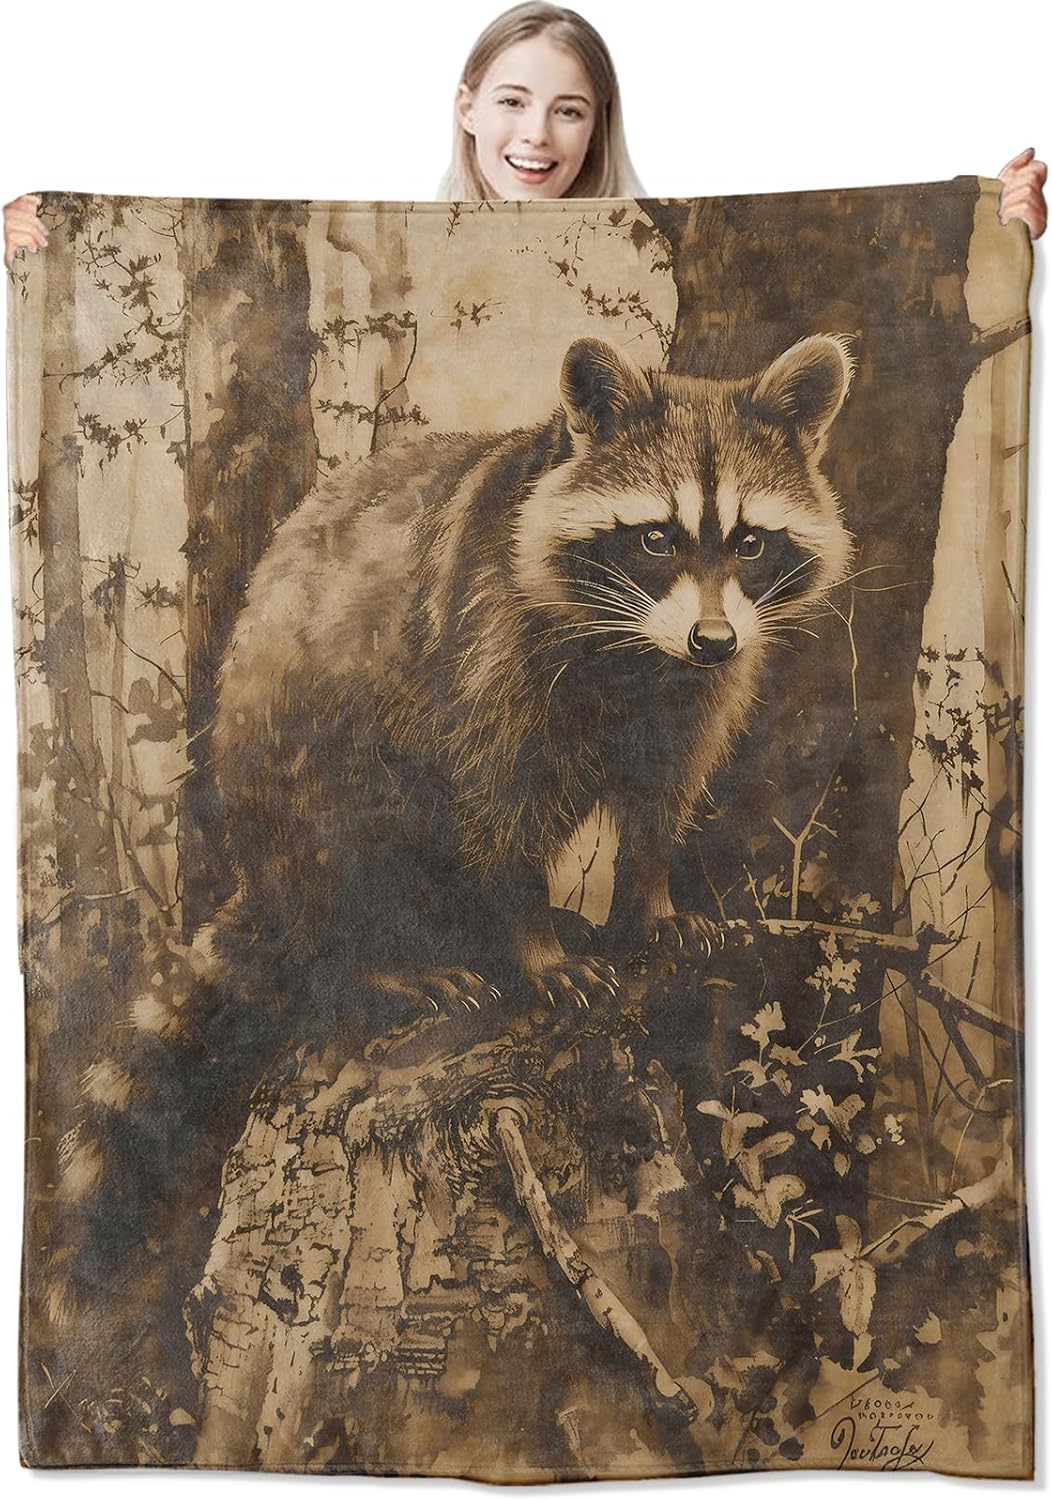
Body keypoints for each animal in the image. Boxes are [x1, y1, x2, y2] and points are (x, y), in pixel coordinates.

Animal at [204, 331, 856, 1027]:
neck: (639, 652)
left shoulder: (694, 690)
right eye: (655, 540)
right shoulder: (488, 643)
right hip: (299, 755)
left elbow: (662, 789)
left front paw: (655, 899)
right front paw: (536, 944)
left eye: (751, 544)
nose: (713, 640)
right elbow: (501, 804)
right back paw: (380, 962)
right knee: (346, 834)